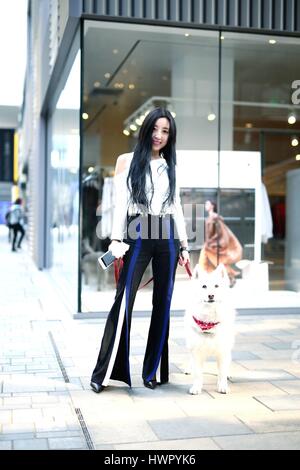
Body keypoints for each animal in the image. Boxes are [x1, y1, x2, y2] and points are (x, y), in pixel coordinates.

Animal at [184, 264, 236, 392]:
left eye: (216, 286)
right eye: (204, 286)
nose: (211, 295)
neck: (208, 321)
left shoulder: (223, 351)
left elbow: (222, 372)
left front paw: (223, 386)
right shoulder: (196, 350)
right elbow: (198, 373)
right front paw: (196, 388)